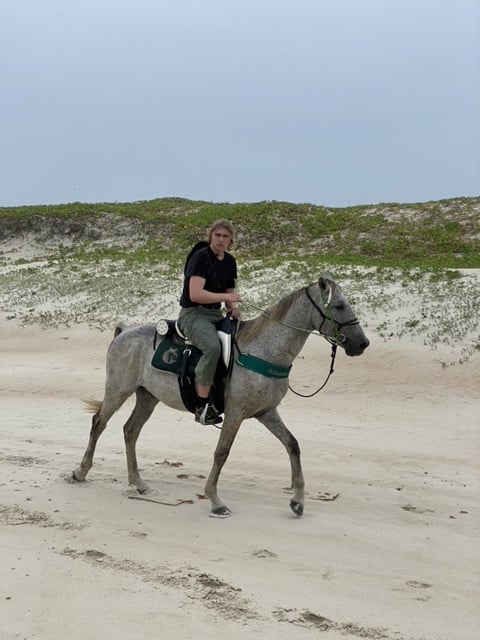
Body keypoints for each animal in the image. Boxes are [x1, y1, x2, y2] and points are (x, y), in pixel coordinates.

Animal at [68, 272, 368, 516]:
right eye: (339, 306)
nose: (363, 343)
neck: (264, 349)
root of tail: (123, 331)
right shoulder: (235, 413)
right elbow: (222, 452)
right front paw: (215, 500)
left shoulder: (265, 412)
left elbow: (292, 444)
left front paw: (298, 499)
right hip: (118, 391)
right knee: (99, 423)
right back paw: (81, 472)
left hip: (147, 396)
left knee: (130, 431)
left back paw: (138, 483)